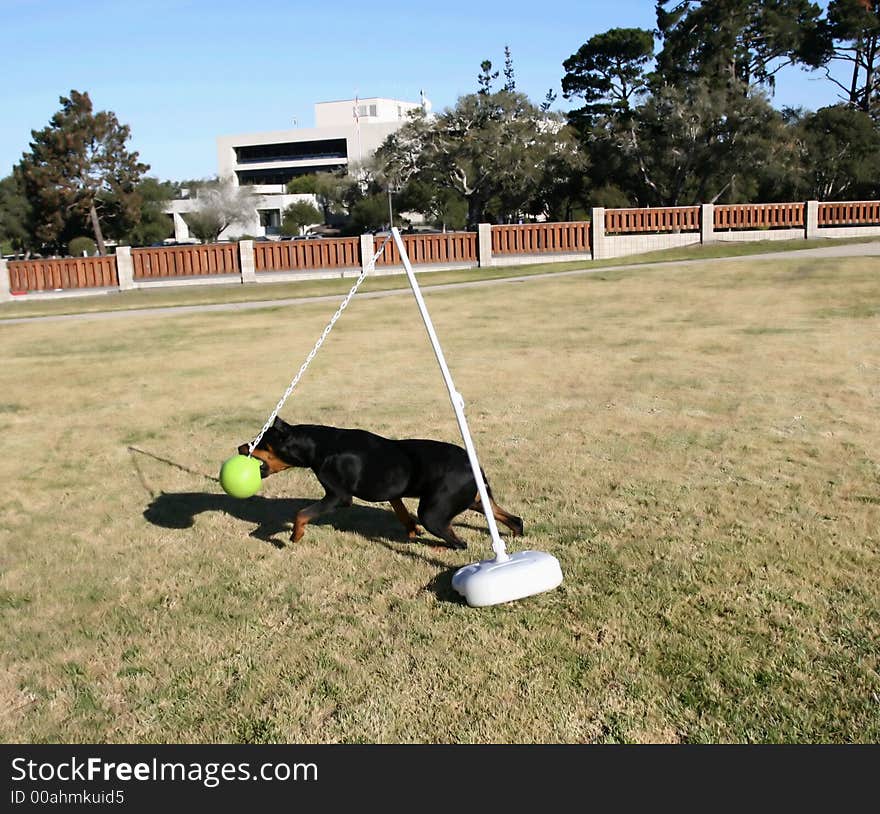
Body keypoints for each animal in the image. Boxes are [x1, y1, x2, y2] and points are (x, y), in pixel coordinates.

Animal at [239, 420, 524, 548]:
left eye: (260, 441)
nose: (240, 446)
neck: (319, 446)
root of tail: (472, 464)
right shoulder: (392, 493)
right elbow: (402, 514)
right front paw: (412, 530)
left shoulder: (338, 496)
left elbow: (301, 513)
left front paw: (294, 536)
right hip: (474, 500)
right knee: (515, 519)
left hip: (433, 512)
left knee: (459, 542)